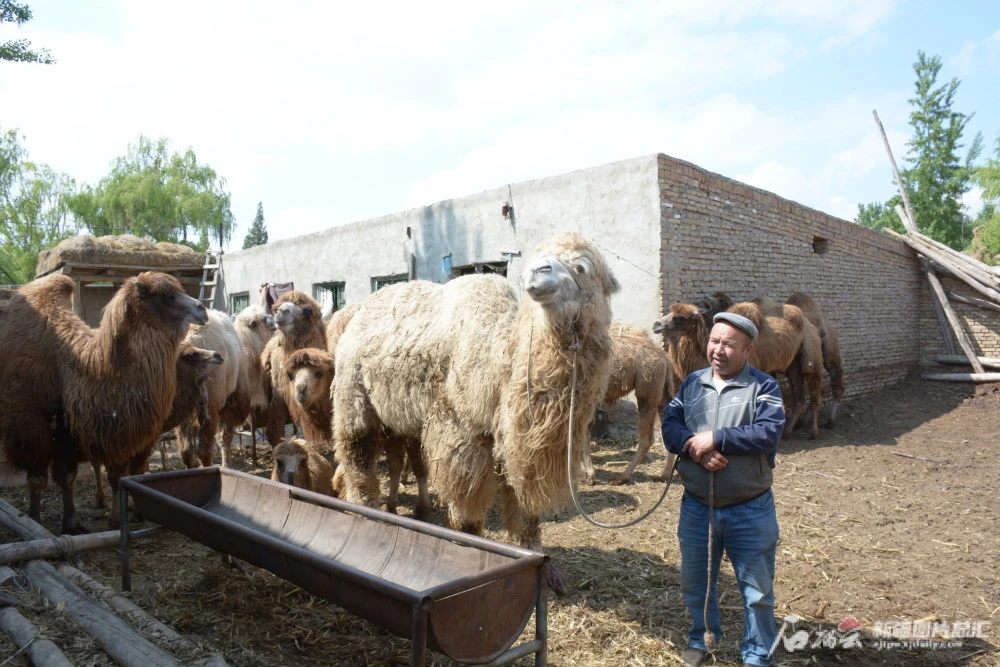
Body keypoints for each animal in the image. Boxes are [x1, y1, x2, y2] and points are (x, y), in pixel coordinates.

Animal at [0, 270, 207, 532]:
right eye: (167, 296)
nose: (203, 309)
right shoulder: (30, 424)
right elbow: (37, 478)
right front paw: (35, 521)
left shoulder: (69, 429)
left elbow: (67, 476)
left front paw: (72, 523)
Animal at [332, 231, 620, 596]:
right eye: (538, 256)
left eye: (582, 267)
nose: (538, 272)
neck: (500, 360)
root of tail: (355, 316)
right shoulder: (461, 432)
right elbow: (468, 514)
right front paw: (471, 557)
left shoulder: (514, 439)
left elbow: (526, 512)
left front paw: (548, 572)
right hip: (352, 392)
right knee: (357, 454)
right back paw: (364, 515)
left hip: (400, 416)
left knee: (400, 459)